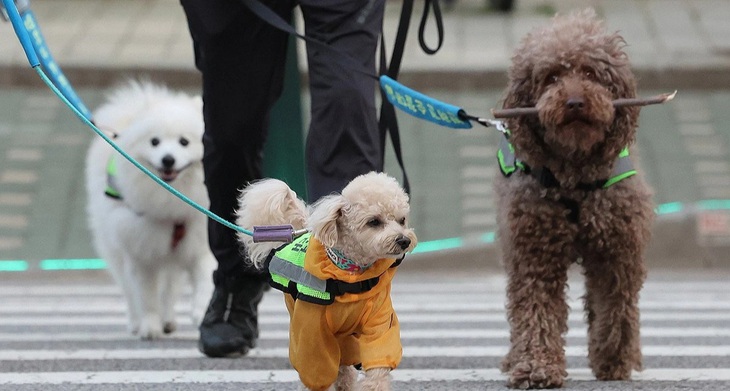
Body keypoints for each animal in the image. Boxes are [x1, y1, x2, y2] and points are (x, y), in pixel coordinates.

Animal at [85, 81, 215, 342]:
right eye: (154, 142)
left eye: (184, 142)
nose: (168, 160)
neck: (170, 200)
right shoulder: (141, 254)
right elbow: (146, 297)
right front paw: (149, 327)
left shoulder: (199, 244)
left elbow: (204, 281)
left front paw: (200, 312)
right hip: (116, 250)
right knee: (129, 291)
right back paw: (137, 323)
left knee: (169, 290)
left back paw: (168, 320)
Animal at [233, 173, 416, 391]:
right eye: (374, 222)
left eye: (402, 220)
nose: (404, 240)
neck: (350, 275)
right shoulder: (313, 328)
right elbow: (316, 365)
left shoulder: (378, 321)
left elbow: (379, 357)